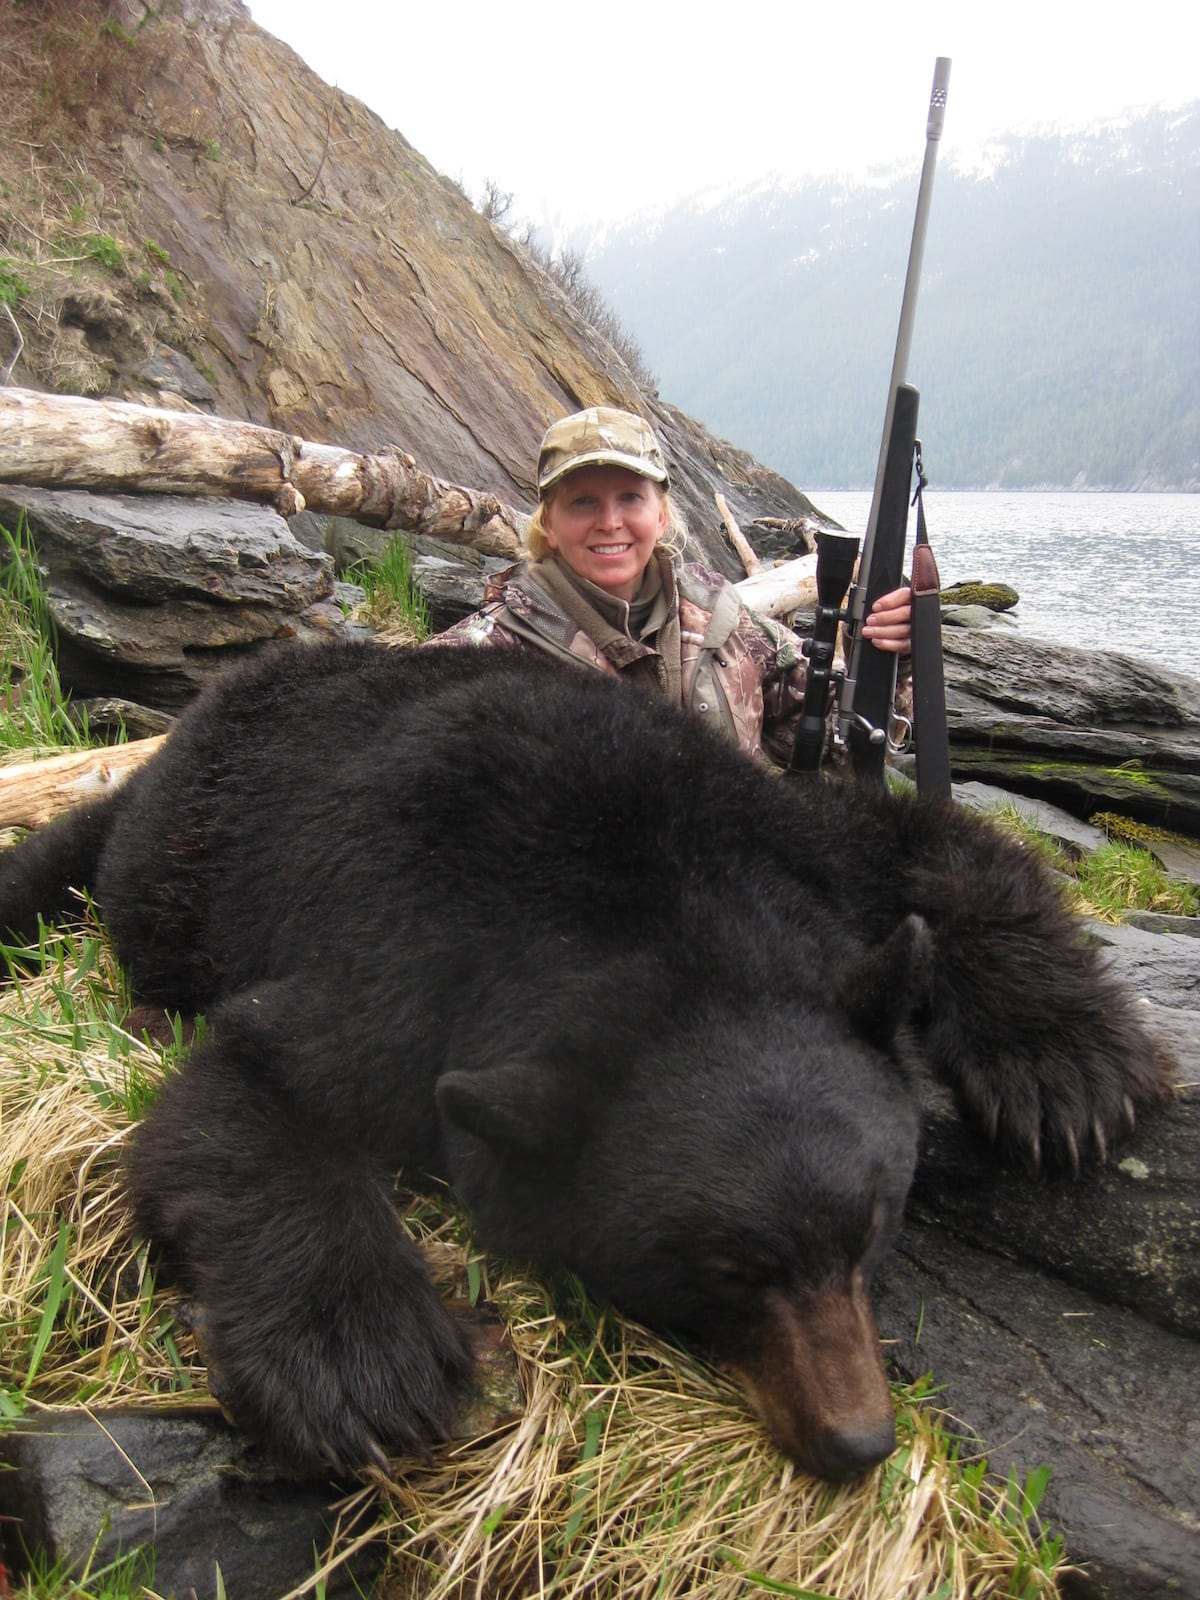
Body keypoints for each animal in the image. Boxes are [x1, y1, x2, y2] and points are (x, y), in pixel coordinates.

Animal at [0, 633, 1177, 1472]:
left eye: (873, 1227)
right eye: (730, 1271)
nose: (857, 1443)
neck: (653, 909)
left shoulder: (784, 839)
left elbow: (938, 846)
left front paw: (1069, 1073)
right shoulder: (399, 962)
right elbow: (245, 1086)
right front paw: (358, 1362)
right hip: (188, 850)